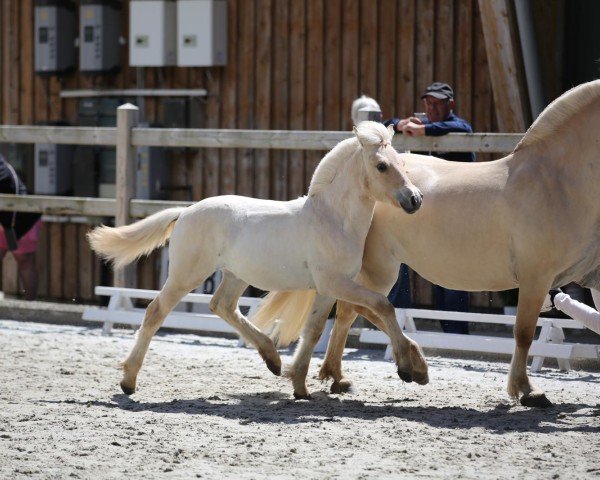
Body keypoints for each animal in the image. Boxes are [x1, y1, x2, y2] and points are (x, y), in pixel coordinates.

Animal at [88, 122, 426, 396]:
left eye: (401, 162)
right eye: (382, 165)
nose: (415, 199)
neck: (332, 219)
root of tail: (184, 212)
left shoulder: (327, 289)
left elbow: (314, 330)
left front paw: (300, 387)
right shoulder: (335, 283)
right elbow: (383, 305)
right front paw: (407, 370)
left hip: (236, 275)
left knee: (221, 306)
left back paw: (272, 359)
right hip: (187, 275)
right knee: (156, 312)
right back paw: (128, 382)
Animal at [255, 80, 600, 406]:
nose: (415, 200)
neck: (556, 182)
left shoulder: (591, 278)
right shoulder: (534, 278)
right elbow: (524, 333)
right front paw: (527, 391)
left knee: (351, 310)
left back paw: (339, 376)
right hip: (380, 270)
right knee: (361, 308)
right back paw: (403, 366)